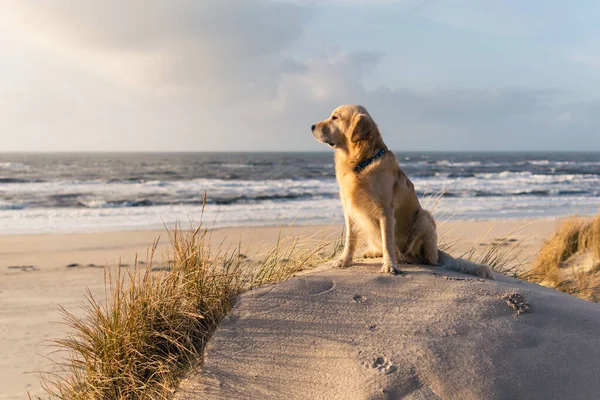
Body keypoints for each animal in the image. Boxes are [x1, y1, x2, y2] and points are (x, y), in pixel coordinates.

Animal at [312, 103, 494, 278]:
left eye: (335, 117)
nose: (312, 126)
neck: (361, 163)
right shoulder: (349, 209)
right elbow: (350, 238)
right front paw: (345, 260)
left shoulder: (385, 211)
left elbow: (387, 242)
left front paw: (390, 265)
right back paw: (374, 252)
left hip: (424, 217)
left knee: (425, 259)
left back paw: (404, 258)